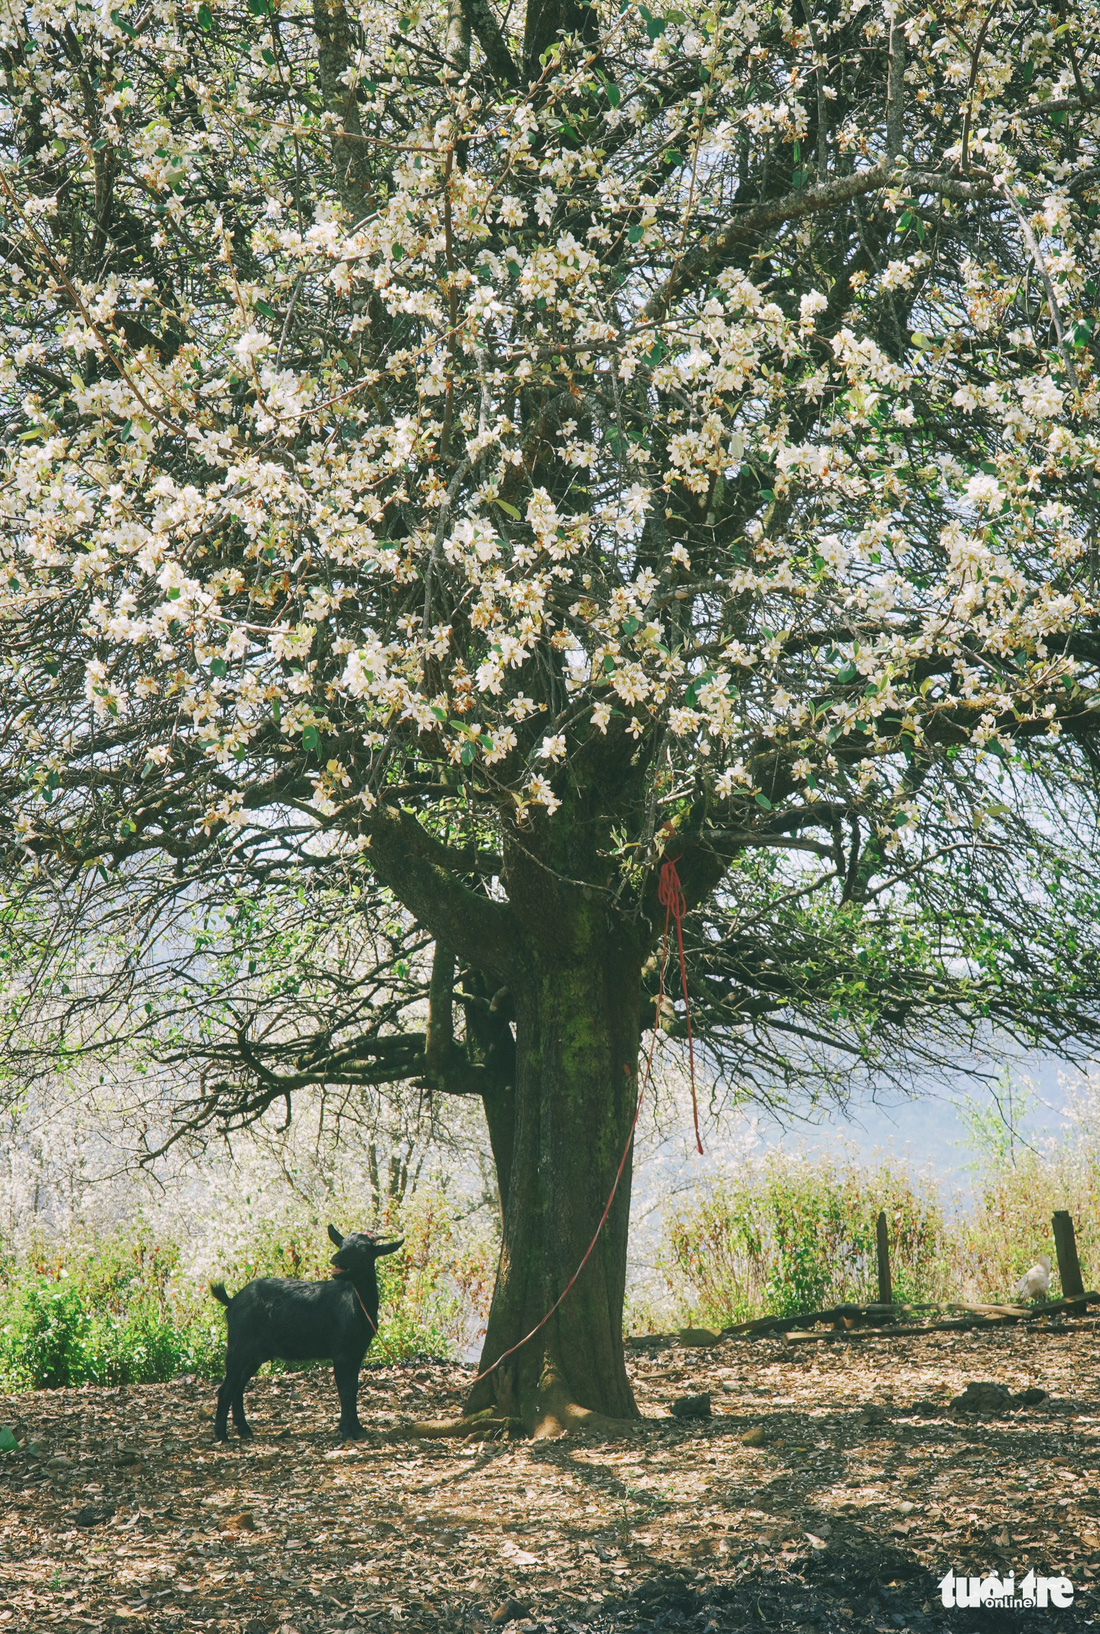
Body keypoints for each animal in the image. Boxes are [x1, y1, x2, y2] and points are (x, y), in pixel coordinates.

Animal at [210, 1228, 403, 1444]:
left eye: (363, 1248)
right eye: (341, 1243)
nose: (335, 1259)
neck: (357, 1307)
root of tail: (232, 1301)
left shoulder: (357, 1352)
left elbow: (353, 1388)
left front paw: (358, 1429)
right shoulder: (341, 1353)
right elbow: (344, 1390)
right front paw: (347, 1431)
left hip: (256, 1354)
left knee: (238, 1386)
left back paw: (244, 1430)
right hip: (239, 1346)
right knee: (226, 1387)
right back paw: (222, 1434)